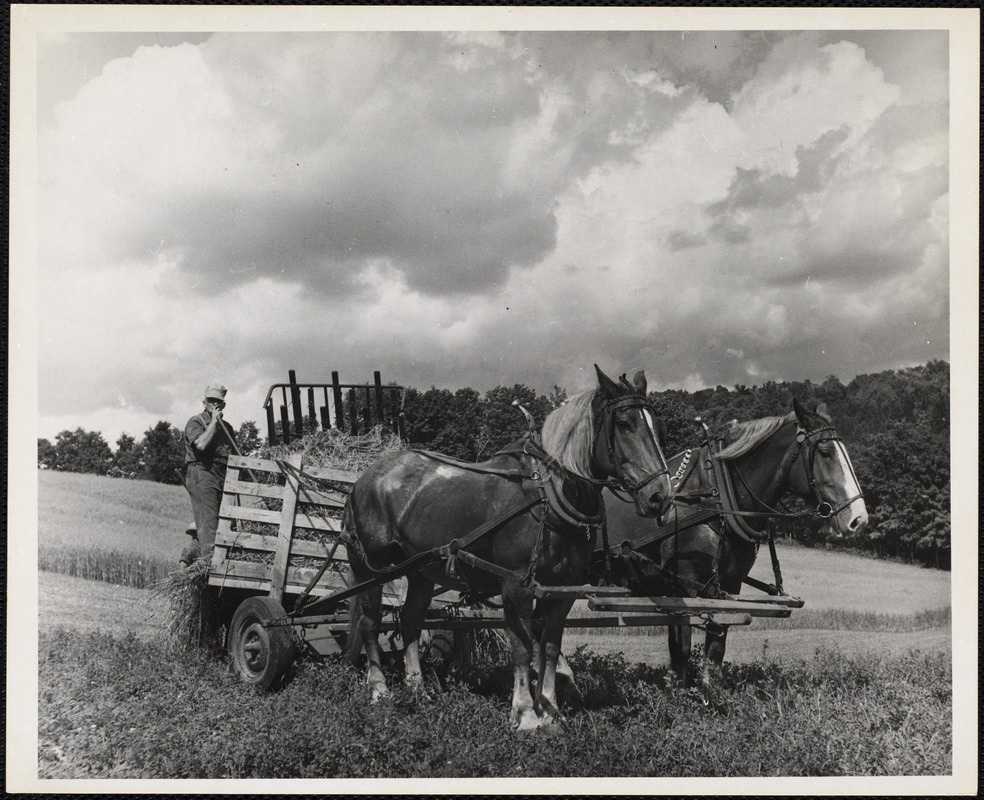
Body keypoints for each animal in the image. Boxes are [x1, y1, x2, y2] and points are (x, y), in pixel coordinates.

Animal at [342, 366, 672, 728]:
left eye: (658, 427)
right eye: (624, 424)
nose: (660, 496)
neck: (548, 495)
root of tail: (364, 478)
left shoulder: (562, 590)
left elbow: (549, 647)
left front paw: (550, 710)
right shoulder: (515, 585)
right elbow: (522, 648)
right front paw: (526, 712)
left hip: (420, 571)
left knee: (410, 620)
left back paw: (418, 689)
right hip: (368, 567)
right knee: (371, 621)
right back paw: (379, 690)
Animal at [604, 400, 864, 688]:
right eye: (826, 453)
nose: (859, 519)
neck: (715, 498)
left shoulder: (729, 586)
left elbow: (716, 650)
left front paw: (710, 692)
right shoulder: (680, 589)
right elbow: (680, 652)